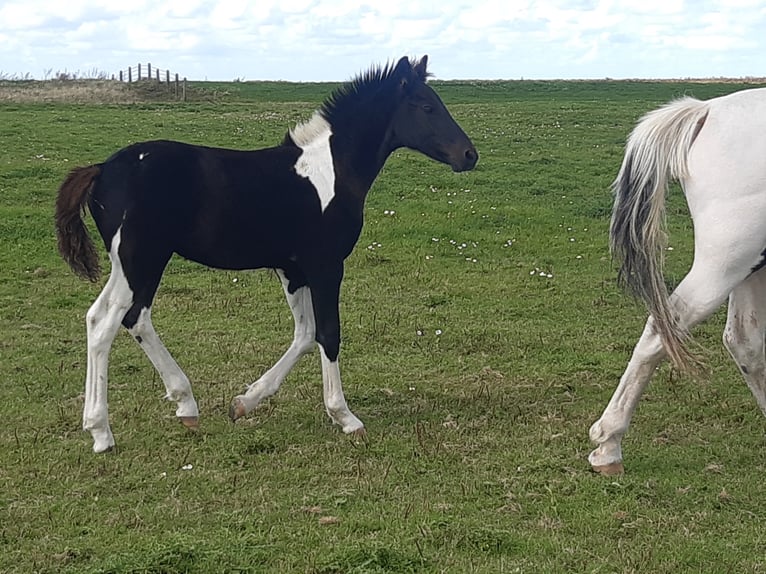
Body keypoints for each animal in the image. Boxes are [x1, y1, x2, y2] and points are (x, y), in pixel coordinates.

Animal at [57, 57, 476, 454]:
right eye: (426, 106)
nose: (469, 155)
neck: (330, 171)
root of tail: (102, 169)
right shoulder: (326, 266)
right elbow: (329, 333)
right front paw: (345, 417)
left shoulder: (293, 270)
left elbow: (305, 334)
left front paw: (244, 402)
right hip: (140, 260)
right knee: (107, 321)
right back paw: (101, 432)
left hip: (134, 264)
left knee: (124, 317)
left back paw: (185, 405)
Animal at [592, 88, 766, 474]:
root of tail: (706, 110)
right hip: (725, 262)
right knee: (662, 329)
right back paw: (608, 443)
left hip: (750, 264)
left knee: (743, 341)